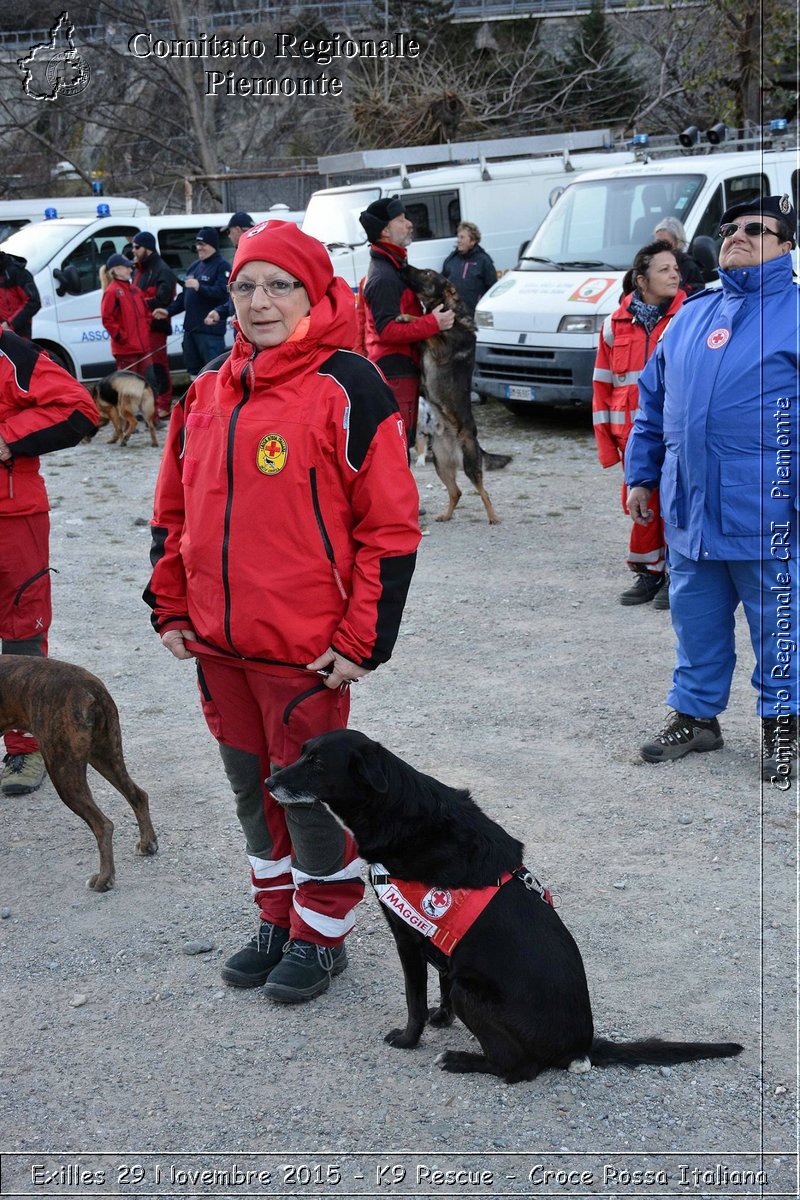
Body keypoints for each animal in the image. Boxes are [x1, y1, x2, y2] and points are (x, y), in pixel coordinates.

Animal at [0, 657, 158, 892]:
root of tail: (90, 687)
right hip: (104, 754)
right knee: (137, 795)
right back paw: (148, 844)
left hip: (63, 770)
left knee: (103, 824)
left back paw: (104, 880)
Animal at [268, 729, 743, 1089]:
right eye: (302, 752)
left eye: (317, 764)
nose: (270, 783)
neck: (399, 810)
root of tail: (581, 1045)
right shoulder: (444, 941)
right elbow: (440, 984)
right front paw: (442, 1019)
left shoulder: (407, 936)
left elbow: (415, 1000)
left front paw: (408, 1039)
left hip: (473, 991)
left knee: (518, 1069)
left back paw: (460, 1060)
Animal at [400, 267, 513, 525]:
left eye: (427, 273)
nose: (404, 266)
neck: (447, 308)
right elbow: (426, 325)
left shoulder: (440, 346)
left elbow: (427, 325)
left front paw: (407, 317)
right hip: (441, 465)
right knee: (457, 491)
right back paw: (446, 515)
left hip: (470, 465)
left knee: (483, 492)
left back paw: (493, 517)